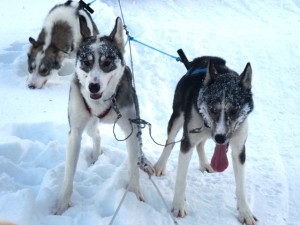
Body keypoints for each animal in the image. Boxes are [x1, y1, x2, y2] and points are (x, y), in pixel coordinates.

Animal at [55, 16, 155, 214]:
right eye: (86, 62)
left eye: (107, 63)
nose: (93, 87)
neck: (103, 102)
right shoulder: (75, 133)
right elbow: (69, 174)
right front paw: (62, 205)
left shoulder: (131, 129)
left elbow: (133, 168)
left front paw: (136, 195)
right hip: (88, 125)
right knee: (97, 134)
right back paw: (95, 156)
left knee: (138, 148)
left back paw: (144, 162)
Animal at [156, 55, 256, 223]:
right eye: (212, 109)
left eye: (234, 109)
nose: (221, 138)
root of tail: (202, 60)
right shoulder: (187, 141)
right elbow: (181, 179)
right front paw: (178, 205)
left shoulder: (239, 149)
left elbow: (241, 186)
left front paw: (245, 212)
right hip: (177, 117)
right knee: (169, 142)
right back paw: (159, 166)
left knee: (200, 144)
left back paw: (205, 164)